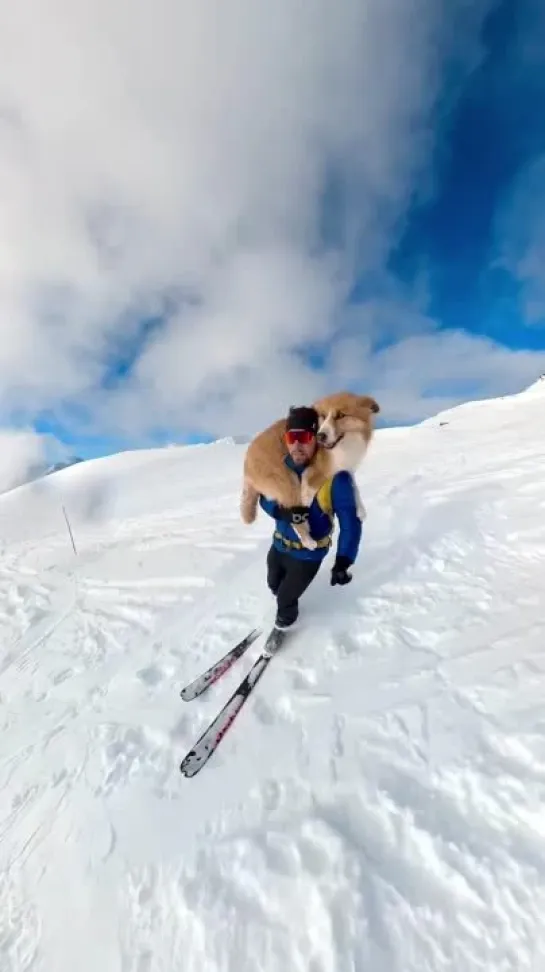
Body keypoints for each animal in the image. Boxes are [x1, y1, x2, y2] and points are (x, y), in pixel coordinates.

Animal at [238, 392, 378, 552]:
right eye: (323, 416)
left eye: (341, 415)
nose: (320, 436)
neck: (344, 447)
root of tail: (246, 463)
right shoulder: (311, 473)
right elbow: (307, 494)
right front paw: (306, 505)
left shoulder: (344, 468)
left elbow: (354, 486)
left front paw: (361, 509)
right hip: (288, 480)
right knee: (293, 516)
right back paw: (307, 540)